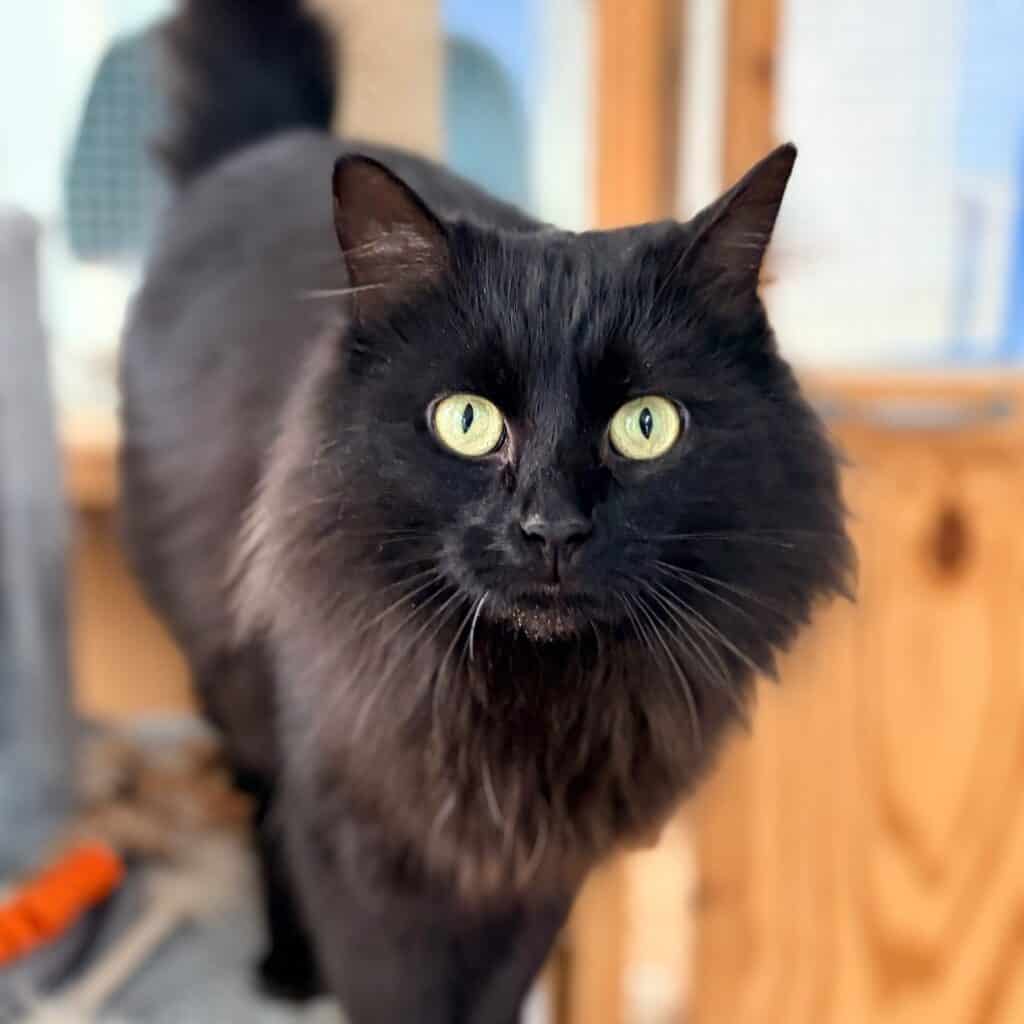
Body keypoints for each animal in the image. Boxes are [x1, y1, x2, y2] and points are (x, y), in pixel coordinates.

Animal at [119, 1, 854, 1020]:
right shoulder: (362, 855)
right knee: (262, 812)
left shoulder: (538, 873)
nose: (552, 529)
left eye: (647, 425)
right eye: (466, 421)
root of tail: (275, 142)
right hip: (236, 692)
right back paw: (287, 969)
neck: (526, 708)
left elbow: (496, 992)